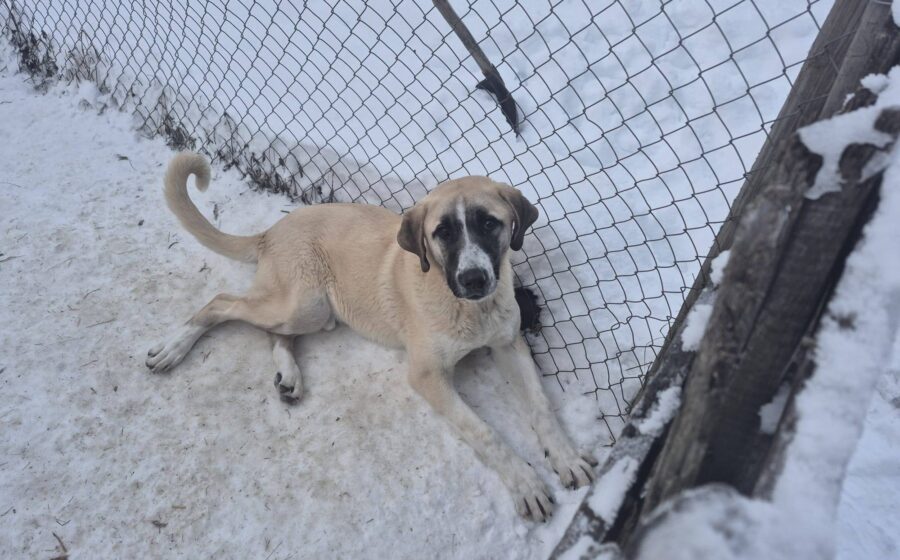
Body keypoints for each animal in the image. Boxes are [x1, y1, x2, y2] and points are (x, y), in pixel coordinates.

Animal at [147, 153, 597, 521]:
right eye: (443, 232)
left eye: (489, 223)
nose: (473, 279)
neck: (470, 310)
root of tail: (271, 230)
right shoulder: (427, 375)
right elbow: (485, 432)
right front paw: (526, 483)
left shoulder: (509, 344)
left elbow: (541, 406)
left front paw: (566, 457)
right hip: (303, 303)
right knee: (222, 302)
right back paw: (174, 347)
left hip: (311, 313)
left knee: (276, 336)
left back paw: (289, 376)